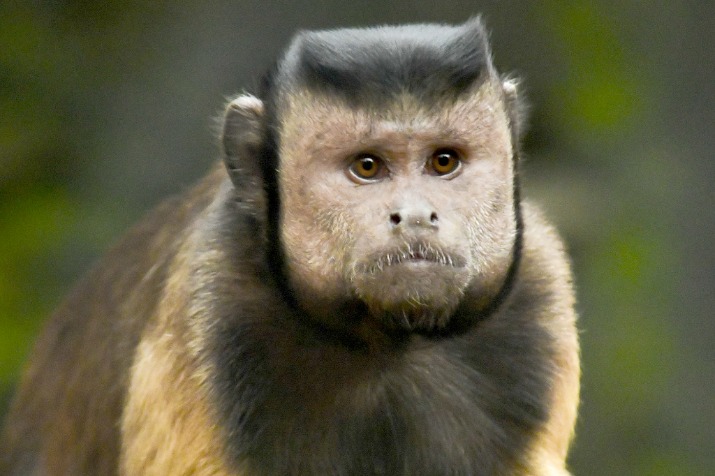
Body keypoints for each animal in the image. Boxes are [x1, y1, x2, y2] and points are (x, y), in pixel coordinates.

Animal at [0, 18, 579, 475]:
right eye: (367, 167)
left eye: (444, 162)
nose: (415, 215)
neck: (386, 344)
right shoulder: (214, 307)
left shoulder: (538, 293)